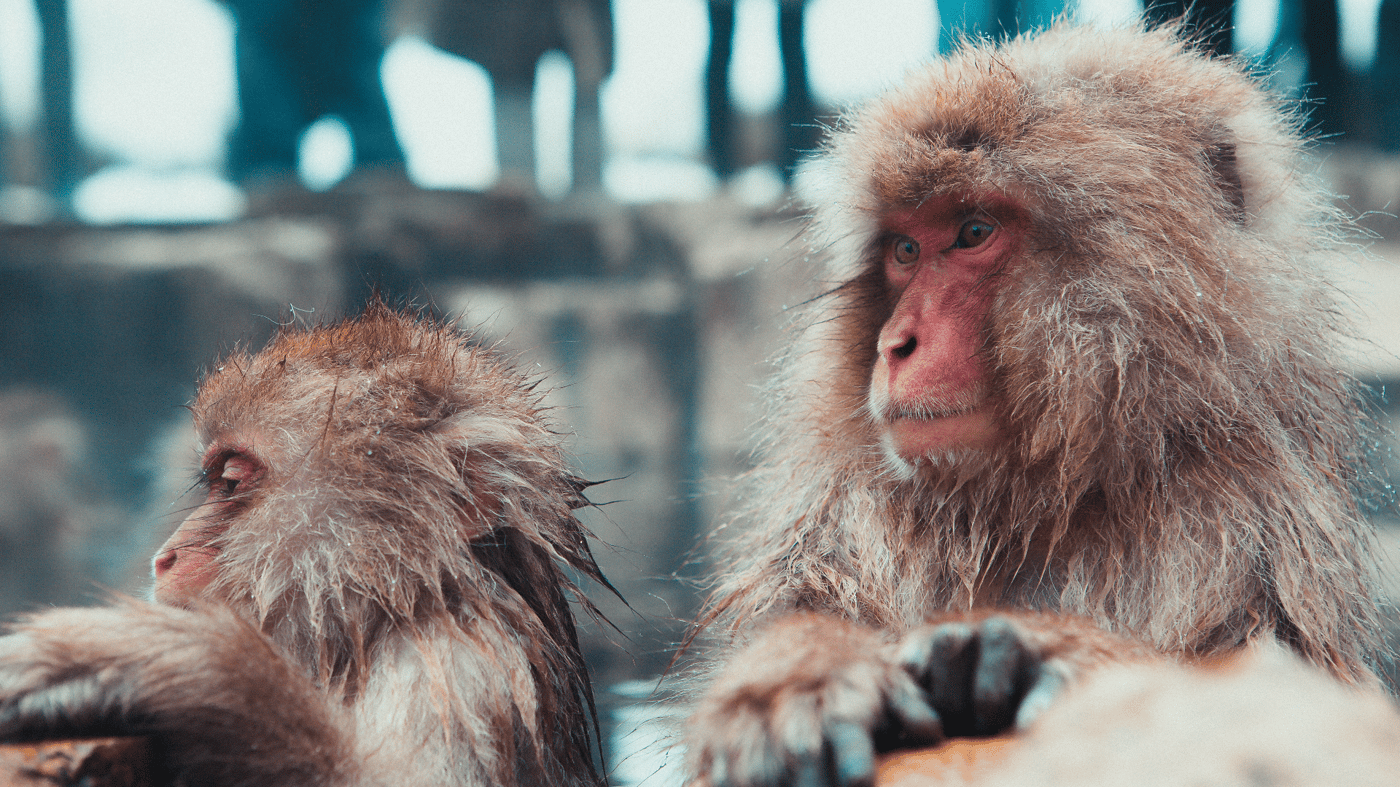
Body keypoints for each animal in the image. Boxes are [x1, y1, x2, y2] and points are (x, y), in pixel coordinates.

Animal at [685, 22, 1390, 787]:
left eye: (973, 232)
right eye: (905, 249)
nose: (895, 343)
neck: (1048, 495)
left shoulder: (1257, 526)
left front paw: (1050, 649)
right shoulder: (848, 512)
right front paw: (797, 676)